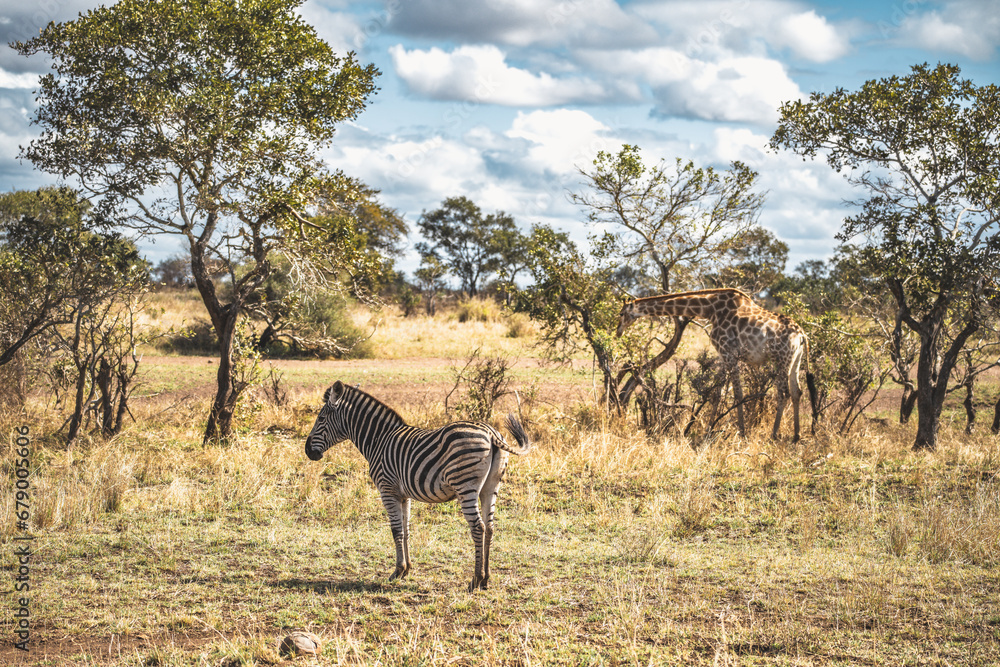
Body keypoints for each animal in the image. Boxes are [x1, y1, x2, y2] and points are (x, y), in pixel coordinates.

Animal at [616, 288, 818, 442]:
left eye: (621, 313)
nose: (618, 331)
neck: (710, 310)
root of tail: (802, 335)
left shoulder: (730, 353)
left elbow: (737, 394)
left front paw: (742, 433)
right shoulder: (723, 354)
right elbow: (717, 394)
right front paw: (707, 432)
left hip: (781, 359)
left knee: (783, 393)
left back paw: (774, 435)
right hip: (795, 360)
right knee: (797, 392)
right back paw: (796, 436)